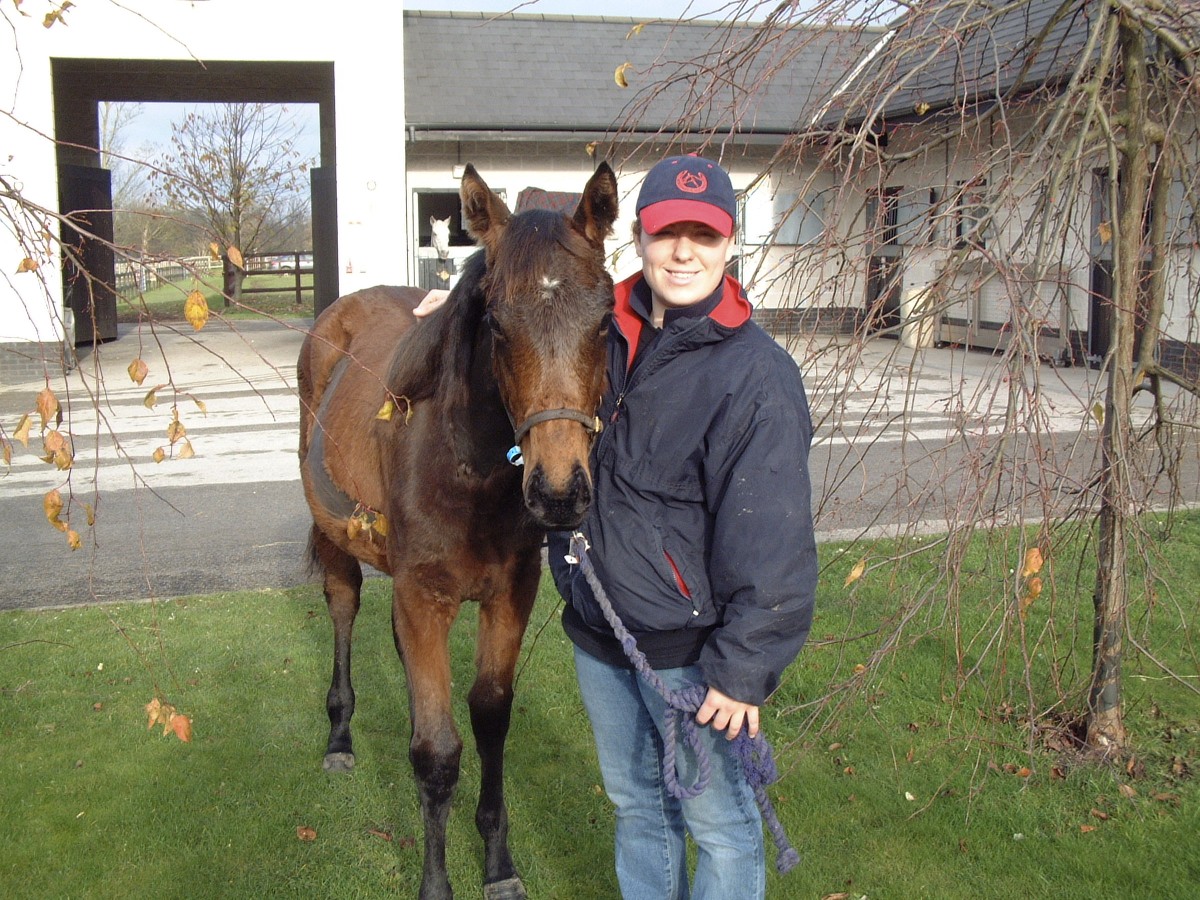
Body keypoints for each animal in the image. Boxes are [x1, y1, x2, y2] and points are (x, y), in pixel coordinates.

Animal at [297, 162, 618, 900]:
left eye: (605, 320)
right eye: (497, 324)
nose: (559, 491)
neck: (467, 468)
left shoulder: (509, 594)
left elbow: (490, 715)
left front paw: (497, 861)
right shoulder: (425, 598)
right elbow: (437, 751)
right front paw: (437, 883)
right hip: (336, 546)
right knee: (344, 609)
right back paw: (339, 737)